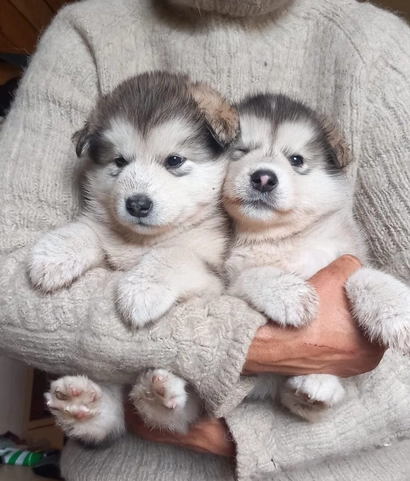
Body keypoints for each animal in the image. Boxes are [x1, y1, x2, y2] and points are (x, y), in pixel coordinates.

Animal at [28, 71, 238, 442]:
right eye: (119, 161)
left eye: (174, 160)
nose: (137, 204)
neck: (142, 243)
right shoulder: (105, 237)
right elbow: (89, 231)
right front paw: (52, 254)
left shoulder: (213, 274)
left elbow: (172, 254)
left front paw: (142, 289)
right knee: (111, 413)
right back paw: (80, 404)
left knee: (175, 416)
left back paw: (156, 393)